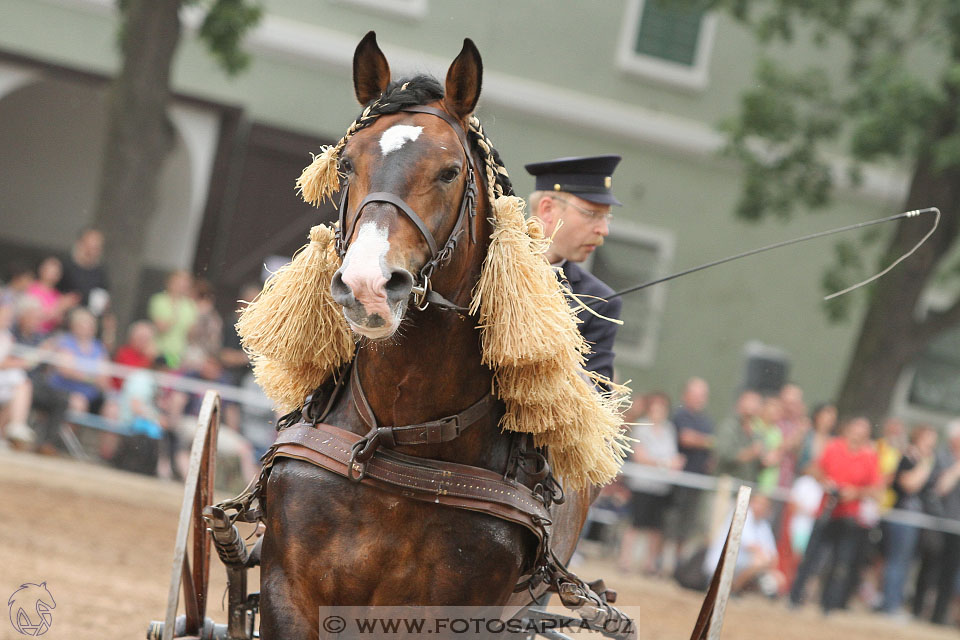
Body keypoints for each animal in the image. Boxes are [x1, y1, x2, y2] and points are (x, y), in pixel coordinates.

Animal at [255, 35, 600, 640]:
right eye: (346, 163)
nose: (367, 285)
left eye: (448, 171)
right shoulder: (288, 592)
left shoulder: (451, 613)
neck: (398, 440)